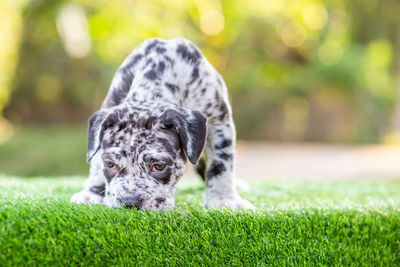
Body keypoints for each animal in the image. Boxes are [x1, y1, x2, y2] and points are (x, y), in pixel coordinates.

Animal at [70, 37, 253, 210]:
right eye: (110, 164)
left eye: (158, 166)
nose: (129, 202)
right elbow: (95, 162)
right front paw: (92, 192)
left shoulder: (219, 121)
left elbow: (221, 163)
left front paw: (224, 199)